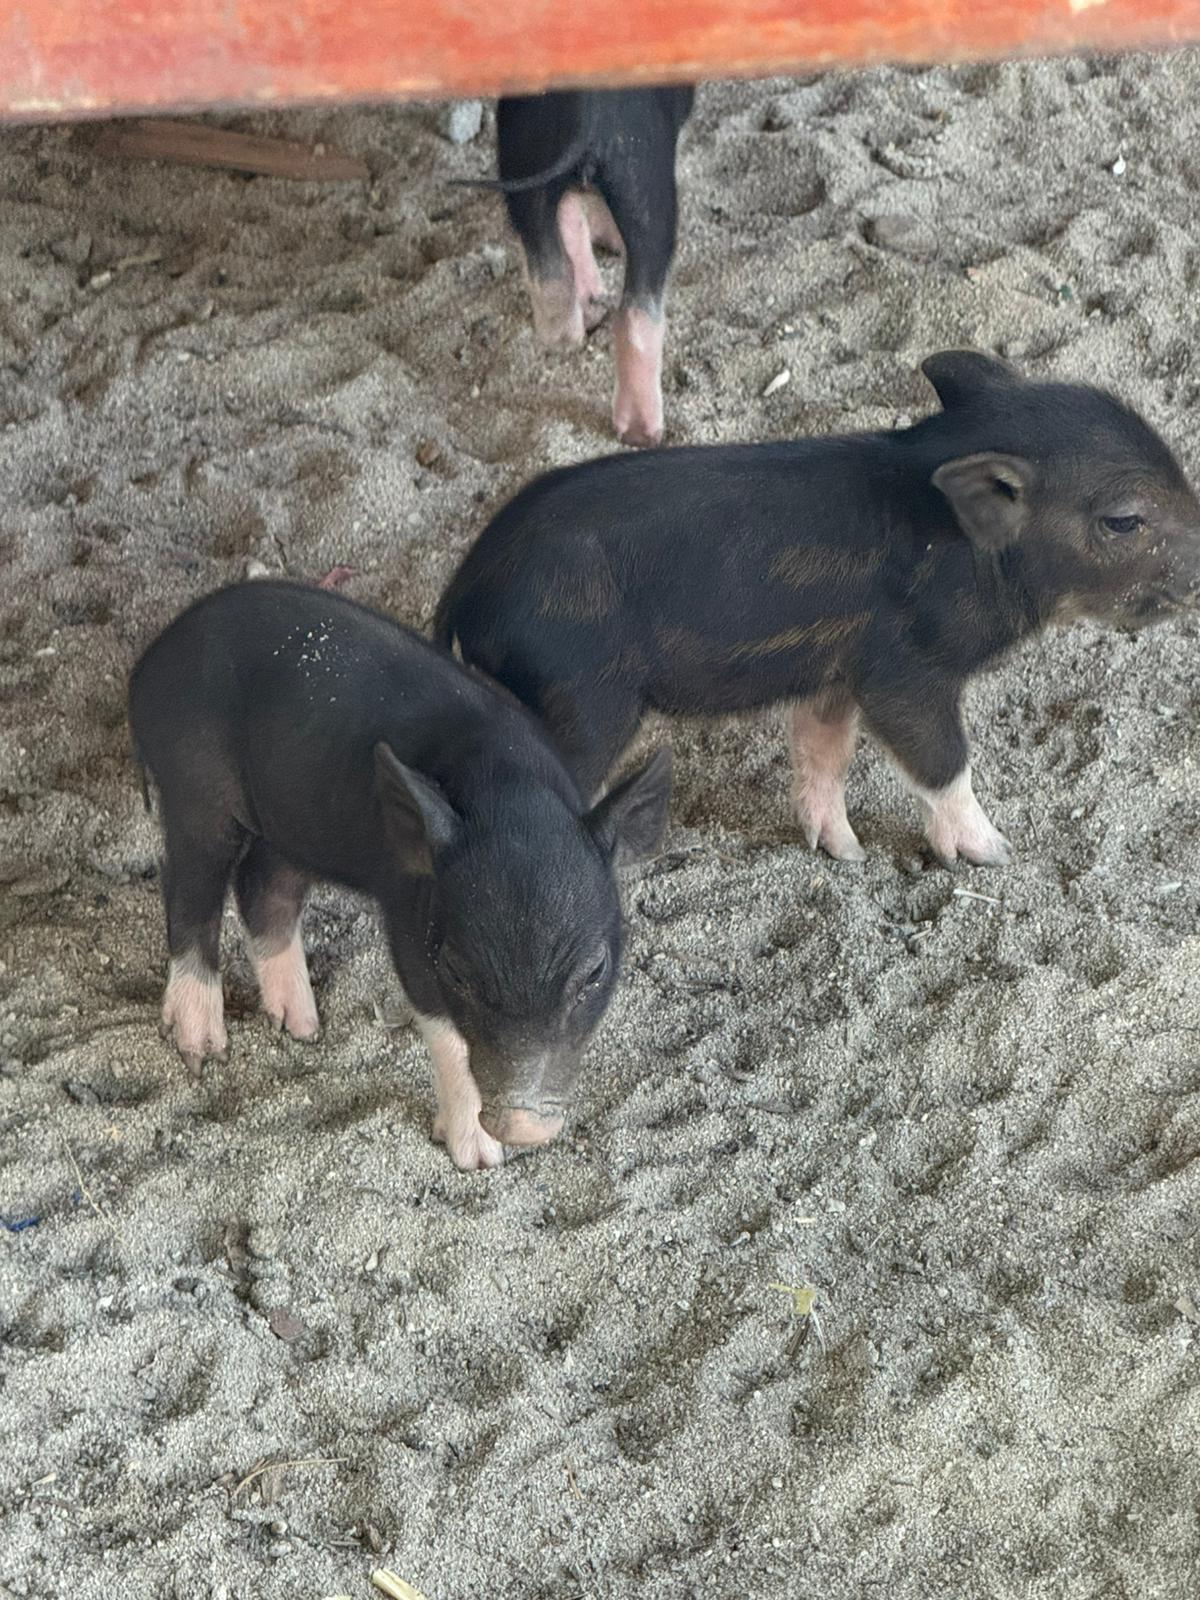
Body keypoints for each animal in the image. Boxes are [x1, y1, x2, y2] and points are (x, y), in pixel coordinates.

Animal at [127, 581, 671, 1169]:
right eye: (457, 970)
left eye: (595, 970)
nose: (525, 1128)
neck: (511, 796)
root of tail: (150, 663)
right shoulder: (410, 915)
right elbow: (445, 1030)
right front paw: (480, 1161)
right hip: (194, 789)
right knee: (189, 890)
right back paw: (202, 1052)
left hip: (298, 818)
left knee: (262, 885)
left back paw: (304, 1029)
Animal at [435, 350, 1200, 867]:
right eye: (1125, 520)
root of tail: (468, 584)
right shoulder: (904, 669)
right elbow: (943, 759)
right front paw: (999, 855)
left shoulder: (835, 672)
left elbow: (823, 750)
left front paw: (846, 853)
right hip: (581, 701)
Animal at [463, 87, 694, 448]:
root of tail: (585, 121)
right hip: (646, 186)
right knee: (639, 309)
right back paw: (643, 434)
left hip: (525, 170)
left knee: (552, 268)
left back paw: (571, 334)